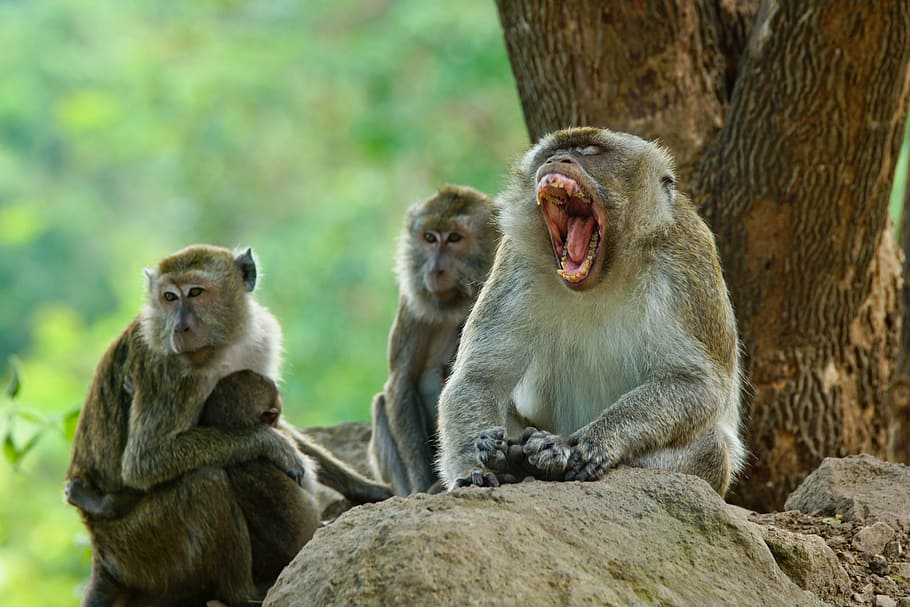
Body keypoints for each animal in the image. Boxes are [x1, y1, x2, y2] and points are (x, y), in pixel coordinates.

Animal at [65, 245, 390, 607]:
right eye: (169, 297)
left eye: (195, 292)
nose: (179, 328)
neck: (221, 346)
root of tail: (100, 552)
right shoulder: (169, 369)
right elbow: (143, 462)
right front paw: (270, 444)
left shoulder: (260, 341)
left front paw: (366, 488)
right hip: (140, 546)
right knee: (204, 482)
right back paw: (243, 592)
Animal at [368, 185, 499, 495]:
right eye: (429, 238)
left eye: (454, 238)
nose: (434, 270)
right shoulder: (411, 306)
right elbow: (401, 382)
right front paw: (422, 483)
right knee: (381, 404)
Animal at [435, 128, 746, 497]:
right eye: (554, 151)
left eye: (588, 150)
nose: (559, 160)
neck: (605, 275)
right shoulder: (517, 260)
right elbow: (479, 378)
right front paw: (475, 470)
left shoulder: (685, 258)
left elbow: (695, 383)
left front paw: (592, 443)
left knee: (710, 446)